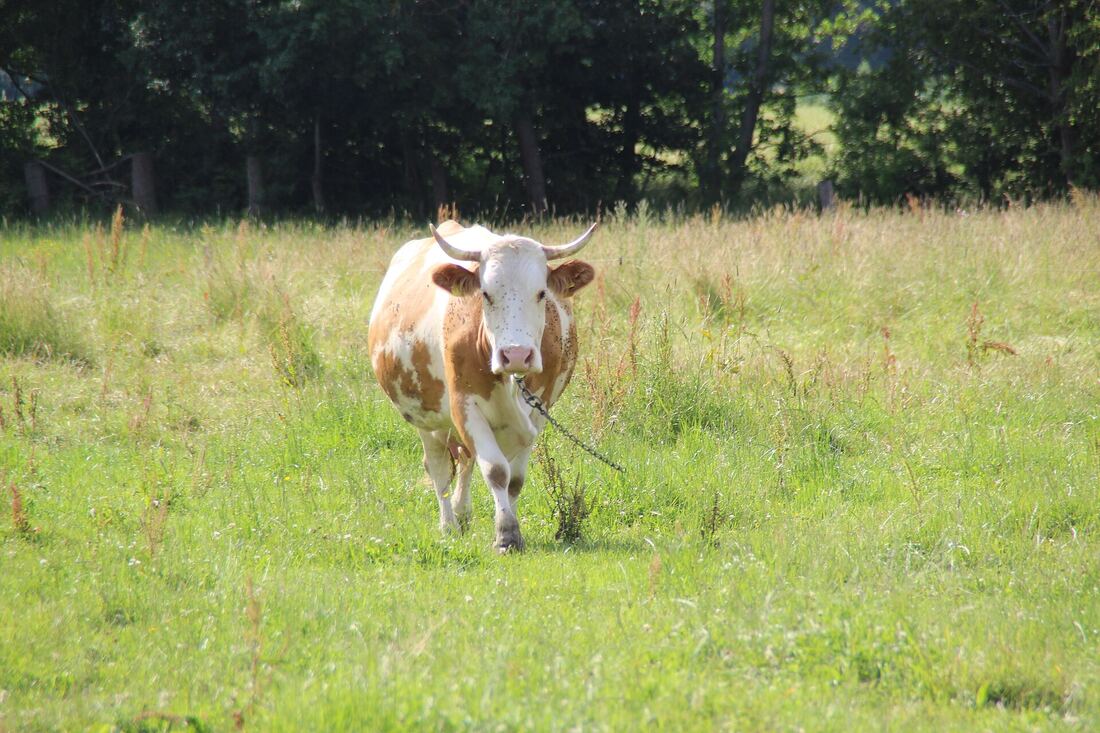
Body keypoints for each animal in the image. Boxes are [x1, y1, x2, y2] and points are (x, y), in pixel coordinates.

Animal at [367, 220, 597, 552]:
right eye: (486, 294)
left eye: (541, 293)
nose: (516, 354)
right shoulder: (465, 406)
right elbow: (496, 471)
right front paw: (506, 535)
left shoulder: (539, 412)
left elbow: (515, 480)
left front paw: (512, 529)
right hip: (426, 417)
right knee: (439, 468)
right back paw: (449, 524)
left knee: (465, 459)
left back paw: (462, 514)